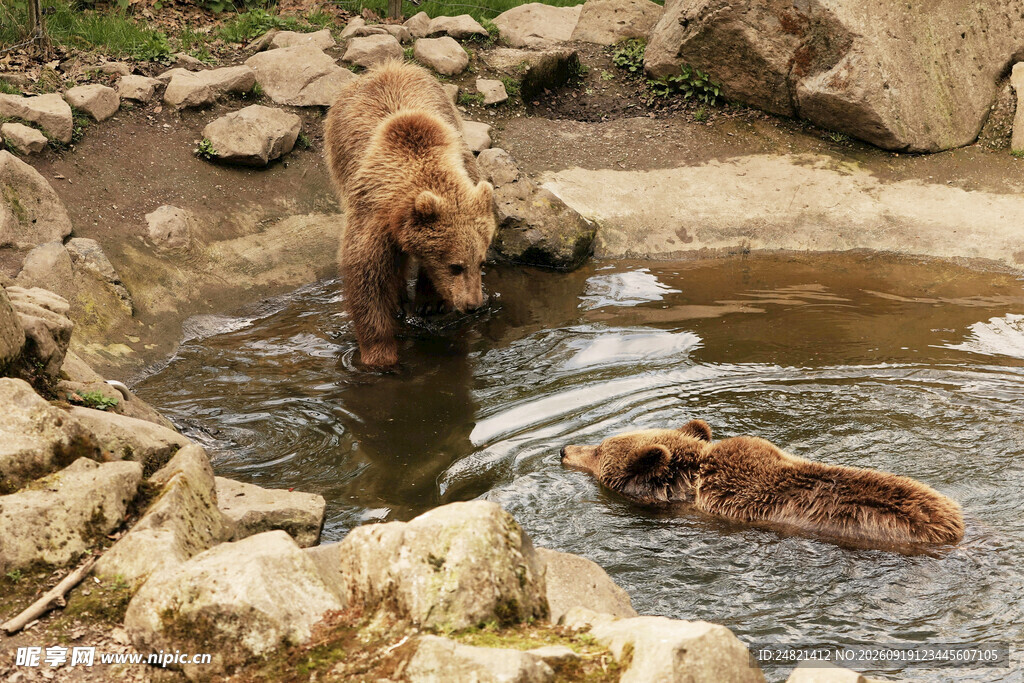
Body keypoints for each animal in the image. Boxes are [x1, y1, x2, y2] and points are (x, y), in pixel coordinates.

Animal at [324, 60, 496, 367]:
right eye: (456, 266)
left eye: (481, 261)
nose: (473, 305)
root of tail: (387, 66)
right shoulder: (372, 217)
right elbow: (367, 278)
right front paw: (379, 355)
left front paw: (430, 301)